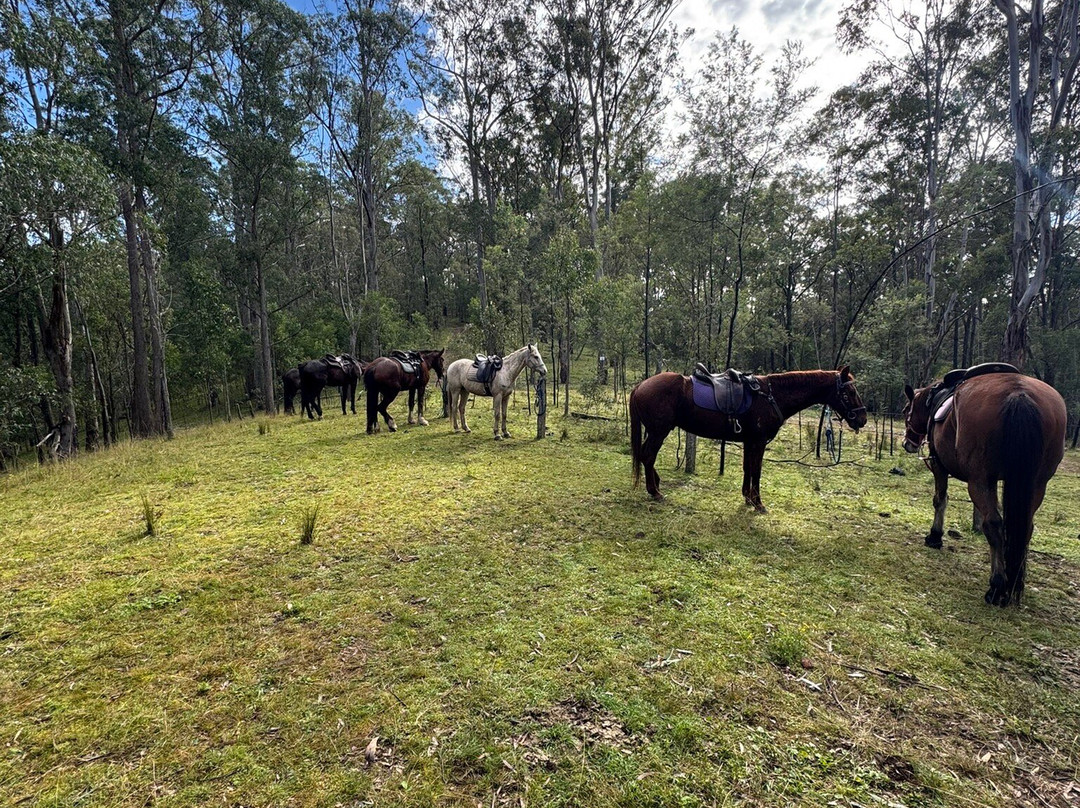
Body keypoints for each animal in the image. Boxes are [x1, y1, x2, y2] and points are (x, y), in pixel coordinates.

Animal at [630, 367, 867, 511]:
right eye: (849, 392)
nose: (863, 419)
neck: (771, 396)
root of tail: (640, 385)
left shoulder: (749, 441)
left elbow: (747, 468)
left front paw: (747, 497)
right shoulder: (759, 441)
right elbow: (756, 470)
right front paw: (758, 502)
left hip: (654, 432)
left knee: (644, 455)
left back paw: (656, 484)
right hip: (659, 432)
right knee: (648, 456)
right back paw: (655, 491)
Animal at [902, 371, 1067, 606]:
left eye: (907, 410)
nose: (907, 443)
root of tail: (1018, 394)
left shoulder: (939, 466)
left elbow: (940, 500)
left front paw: (935, 536)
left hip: (979, 481)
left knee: (994, 525)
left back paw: (997, 586)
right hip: (1037, 484)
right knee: (1025, 528)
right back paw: (1014, 582)